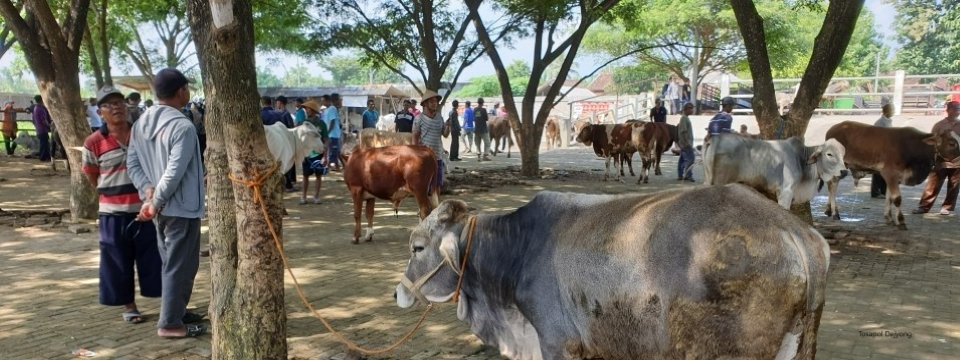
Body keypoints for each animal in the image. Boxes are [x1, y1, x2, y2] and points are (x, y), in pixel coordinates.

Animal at [700, 134, 844, 208]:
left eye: (843, 154)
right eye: (829, 154)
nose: (844, 172)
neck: (801, 158)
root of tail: (715, 138)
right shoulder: (786, 192)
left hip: (708, 180)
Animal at [820, 120, 960, 228]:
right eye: (951, 143)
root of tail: (833, 128)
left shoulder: (893, 178)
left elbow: (889, 197)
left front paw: (889, 218)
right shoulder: (890, 173)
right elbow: (897, 199)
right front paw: (901, 221)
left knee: (830, 185)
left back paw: (828, 209)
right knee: (832, 186)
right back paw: (835, 213)